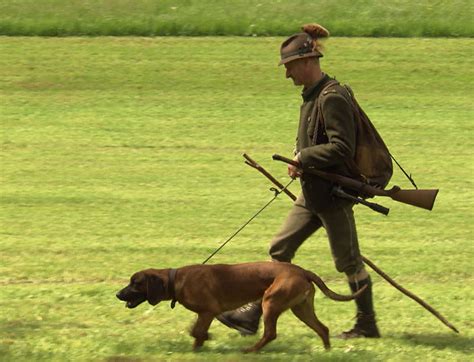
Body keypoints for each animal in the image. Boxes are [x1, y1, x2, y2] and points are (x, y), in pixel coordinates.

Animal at [116, 262, 364, 352]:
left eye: (135, 283)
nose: (118, 294)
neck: (176, 280)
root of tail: (301, 270)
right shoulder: (205, 314)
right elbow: (196, 332)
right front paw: (201, 344)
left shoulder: (208, 311)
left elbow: (197, 331)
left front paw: (201, 343)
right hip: (301, 308)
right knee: (322, 328)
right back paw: (327, 351)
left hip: (270, 302)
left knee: (270, 333)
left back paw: (250, 351)